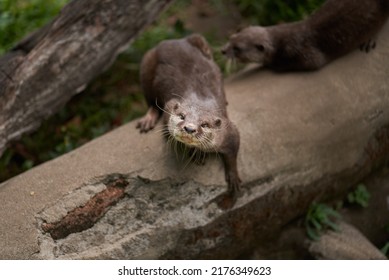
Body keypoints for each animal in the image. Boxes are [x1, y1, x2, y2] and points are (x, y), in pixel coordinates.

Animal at [136, 33, 239, 195]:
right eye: (182, 116)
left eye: (204, 124)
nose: (189, 128)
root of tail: (176, 39)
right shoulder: (170, 104)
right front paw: (195, 152)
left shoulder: (230, 131)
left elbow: (233, 152)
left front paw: (233, 176)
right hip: (146, 64)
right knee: (151, 102)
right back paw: (148, 119)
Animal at [221, 0, 388, 71]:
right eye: (231, 38)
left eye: (237, 48)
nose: (223, 50)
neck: (281, 42)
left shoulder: (303, 52)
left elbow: (310, 63)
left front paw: (272, 65)